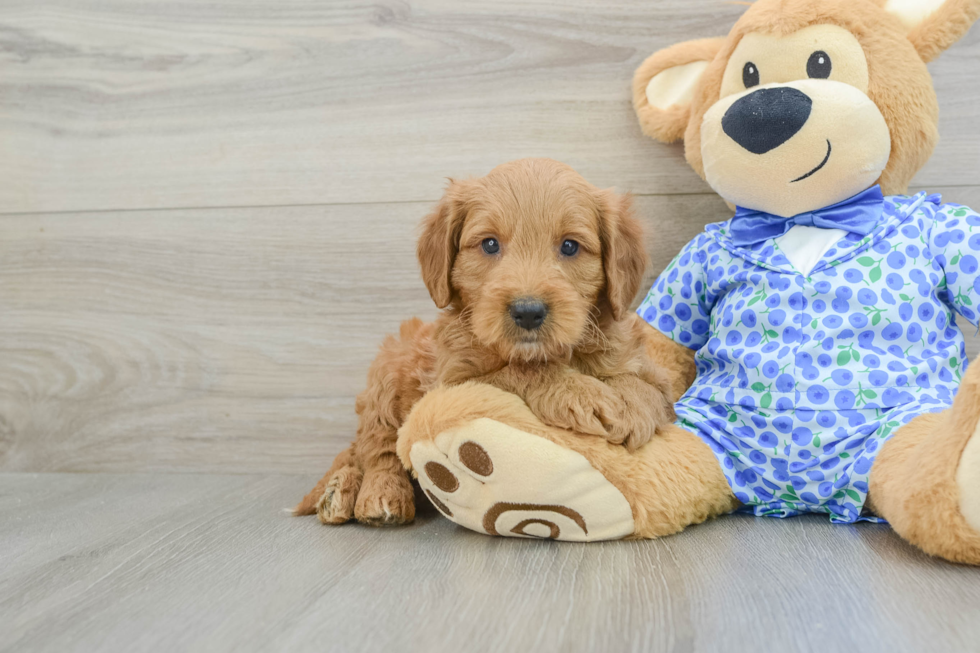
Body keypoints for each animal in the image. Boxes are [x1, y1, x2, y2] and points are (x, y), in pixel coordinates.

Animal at [296, 160, 672, 528]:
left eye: (570, 246)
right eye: (490, 244)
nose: (528, 312)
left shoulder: (642, 363)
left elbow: (649, 388)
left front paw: (633, 406)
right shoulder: (452, 384)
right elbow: (518, 374)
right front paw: (580, 393)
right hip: (386, 373)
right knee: (376, 449)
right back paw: (372, 496)